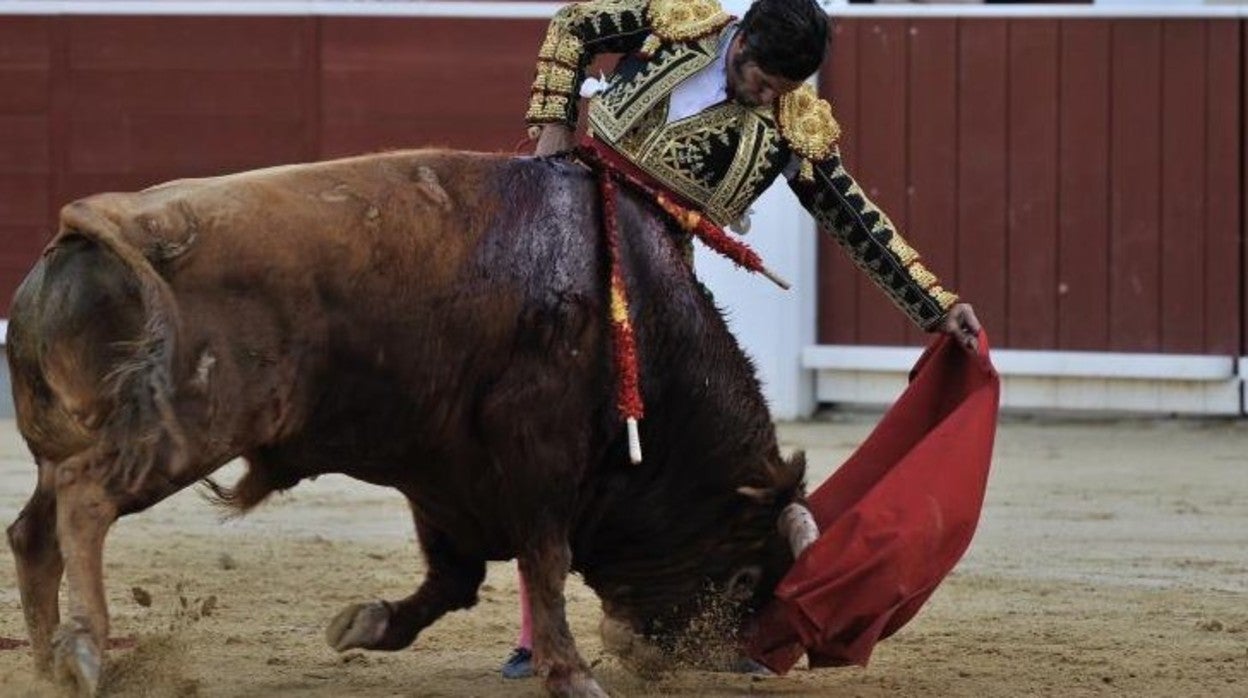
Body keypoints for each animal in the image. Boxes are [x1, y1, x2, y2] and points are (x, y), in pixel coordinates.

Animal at [4, 150, 818, 694]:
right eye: (745, 574)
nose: (691, 659)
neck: (639, 323)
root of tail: (100, 225)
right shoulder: (537, 453)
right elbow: (544, 562)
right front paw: (571, 673)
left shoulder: (442, 471)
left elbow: (454, 579)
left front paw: (364, 624)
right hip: (185, 429)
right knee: (85, 500)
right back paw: (85, 651)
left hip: (84, 436)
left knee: (33, 530)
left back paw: (46, 661)